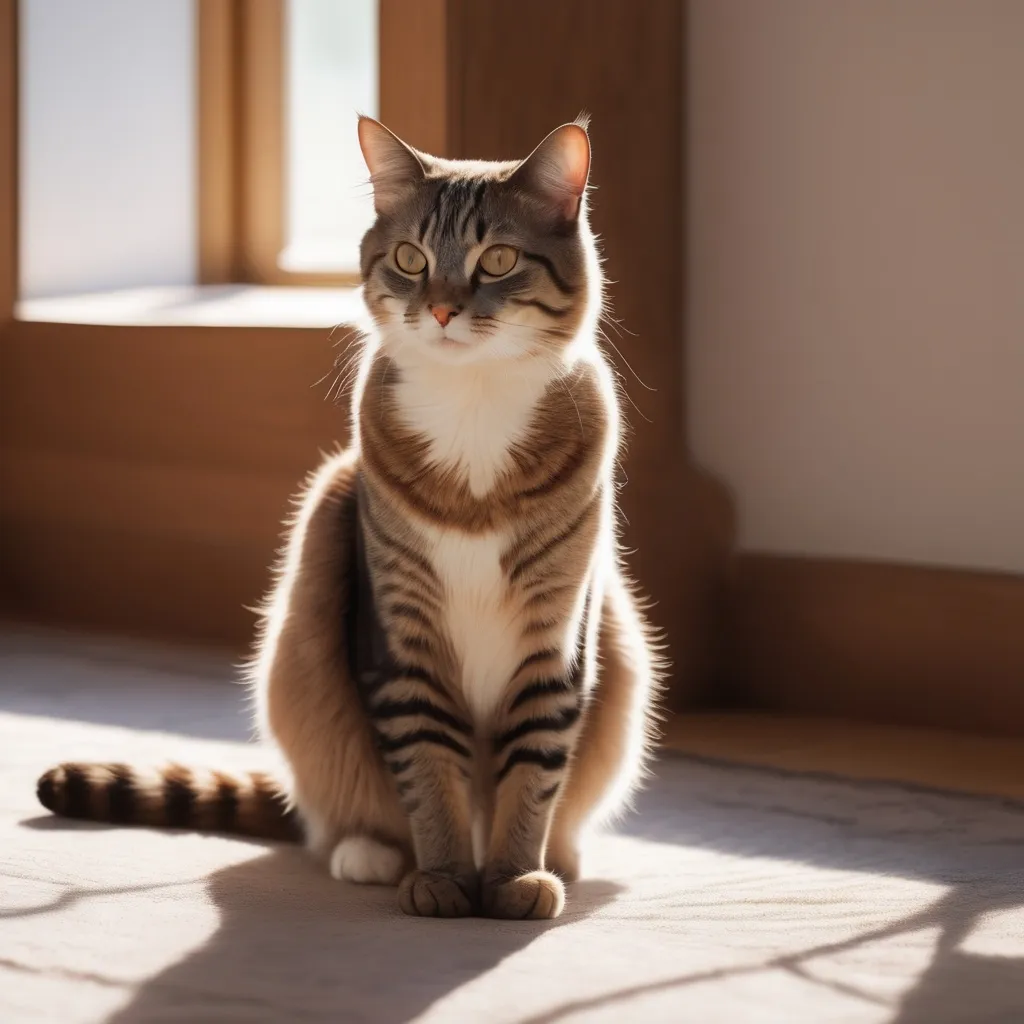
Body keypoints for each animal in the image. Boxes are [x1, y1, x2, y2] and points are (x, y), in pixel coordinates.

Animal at [34, 116, 663, 925]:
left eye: (497, 259)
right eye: (409, 258)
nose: (442, 308)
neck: (472, 412)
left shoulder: (557, 638)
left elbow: (533, 767)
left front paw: (516, 876)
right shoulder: (400, 636)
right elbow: (427, 770)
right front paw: (443, 878)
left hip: (622, 650)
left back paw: (562, 856)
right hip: (309, 604)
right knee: (337, 814)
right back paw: (369, 854)